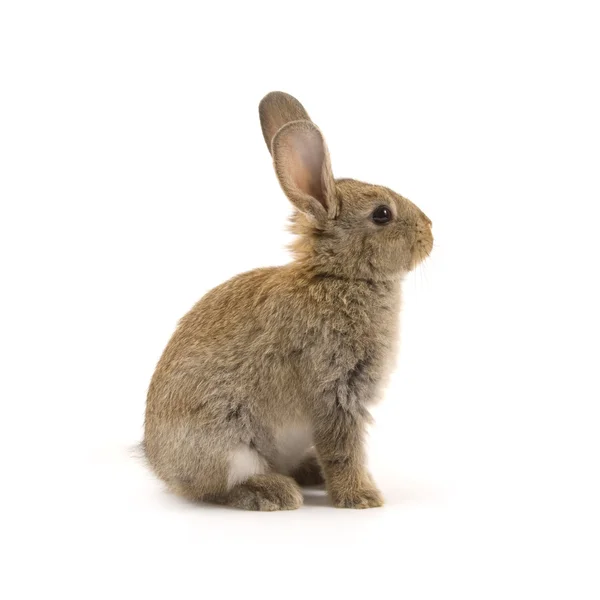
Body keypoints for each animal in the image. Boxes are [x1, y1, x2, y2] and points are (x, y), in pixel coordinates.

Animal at [145, 91, 436, 508]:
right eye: (382, 214)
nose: (430, 231)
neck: (339, 277)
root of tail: (160, 466)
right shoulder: (332, 388)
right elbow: (342, 449)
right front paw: (361, 497)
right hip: (229, 443)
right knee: (218, 488)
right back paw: (274, 492)